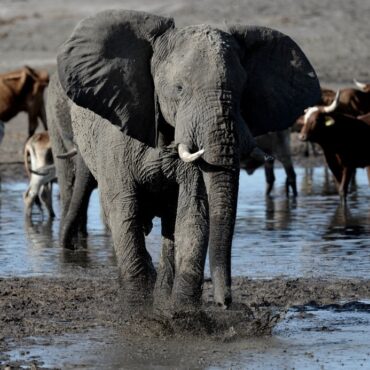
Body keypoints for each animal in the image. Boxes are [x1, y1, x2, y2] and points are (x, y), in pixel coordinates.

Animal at [52, 9, 320, 310]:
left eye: (242, 91)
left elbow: (193, 211)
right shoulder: (116, 138)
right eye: (179, 89)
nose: (225, 301)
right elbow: (124, 209)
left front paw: (183, 312)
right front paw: (137, 309)